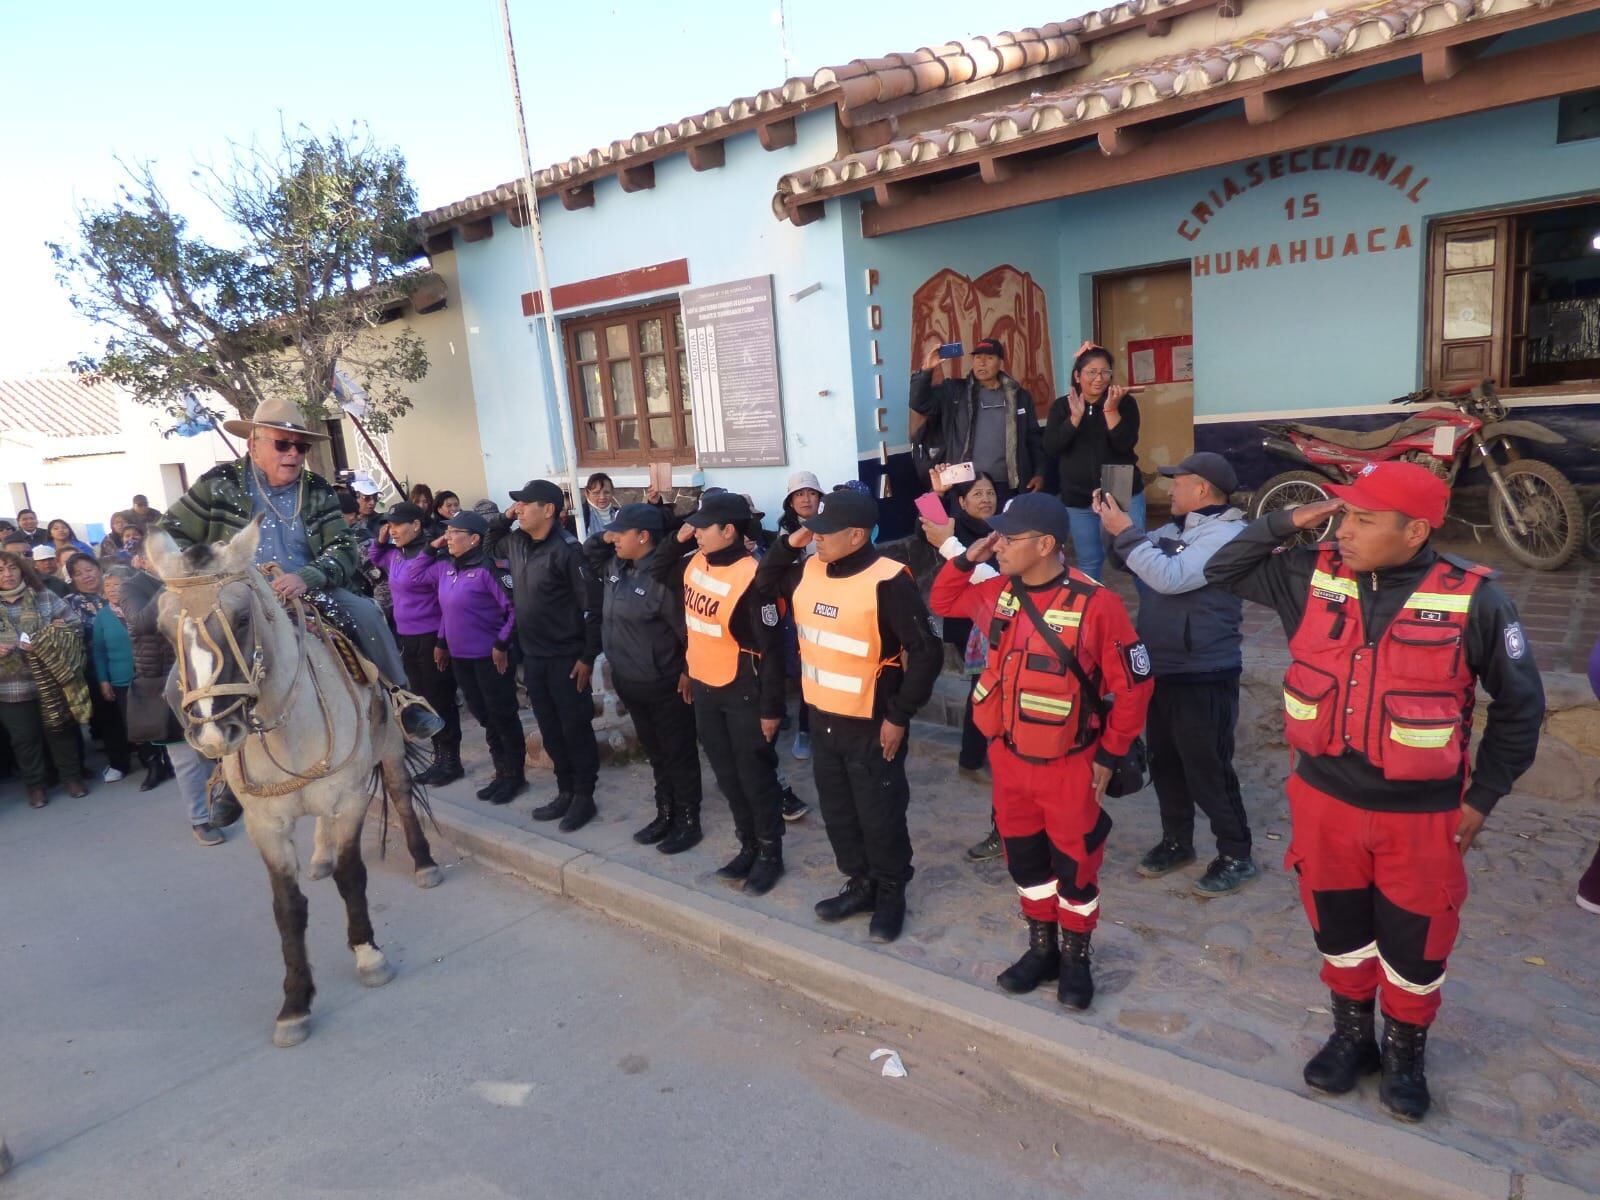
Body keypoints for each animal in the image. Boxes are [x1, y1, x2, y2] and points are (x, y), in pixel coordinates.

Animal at [149, 521, 441, 1049]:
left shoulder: (348, 799)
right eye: (163, 628)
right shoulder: (267, 826)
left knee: (402, 798)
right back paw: (320, 857)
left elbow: (353, 876)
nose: (213, 732)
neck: (288, 728)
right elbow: (287, 908)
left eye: (242, 618)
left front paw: (369, 955)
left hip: (389, 748)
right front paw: (295, 1004)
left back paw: (424, 862)